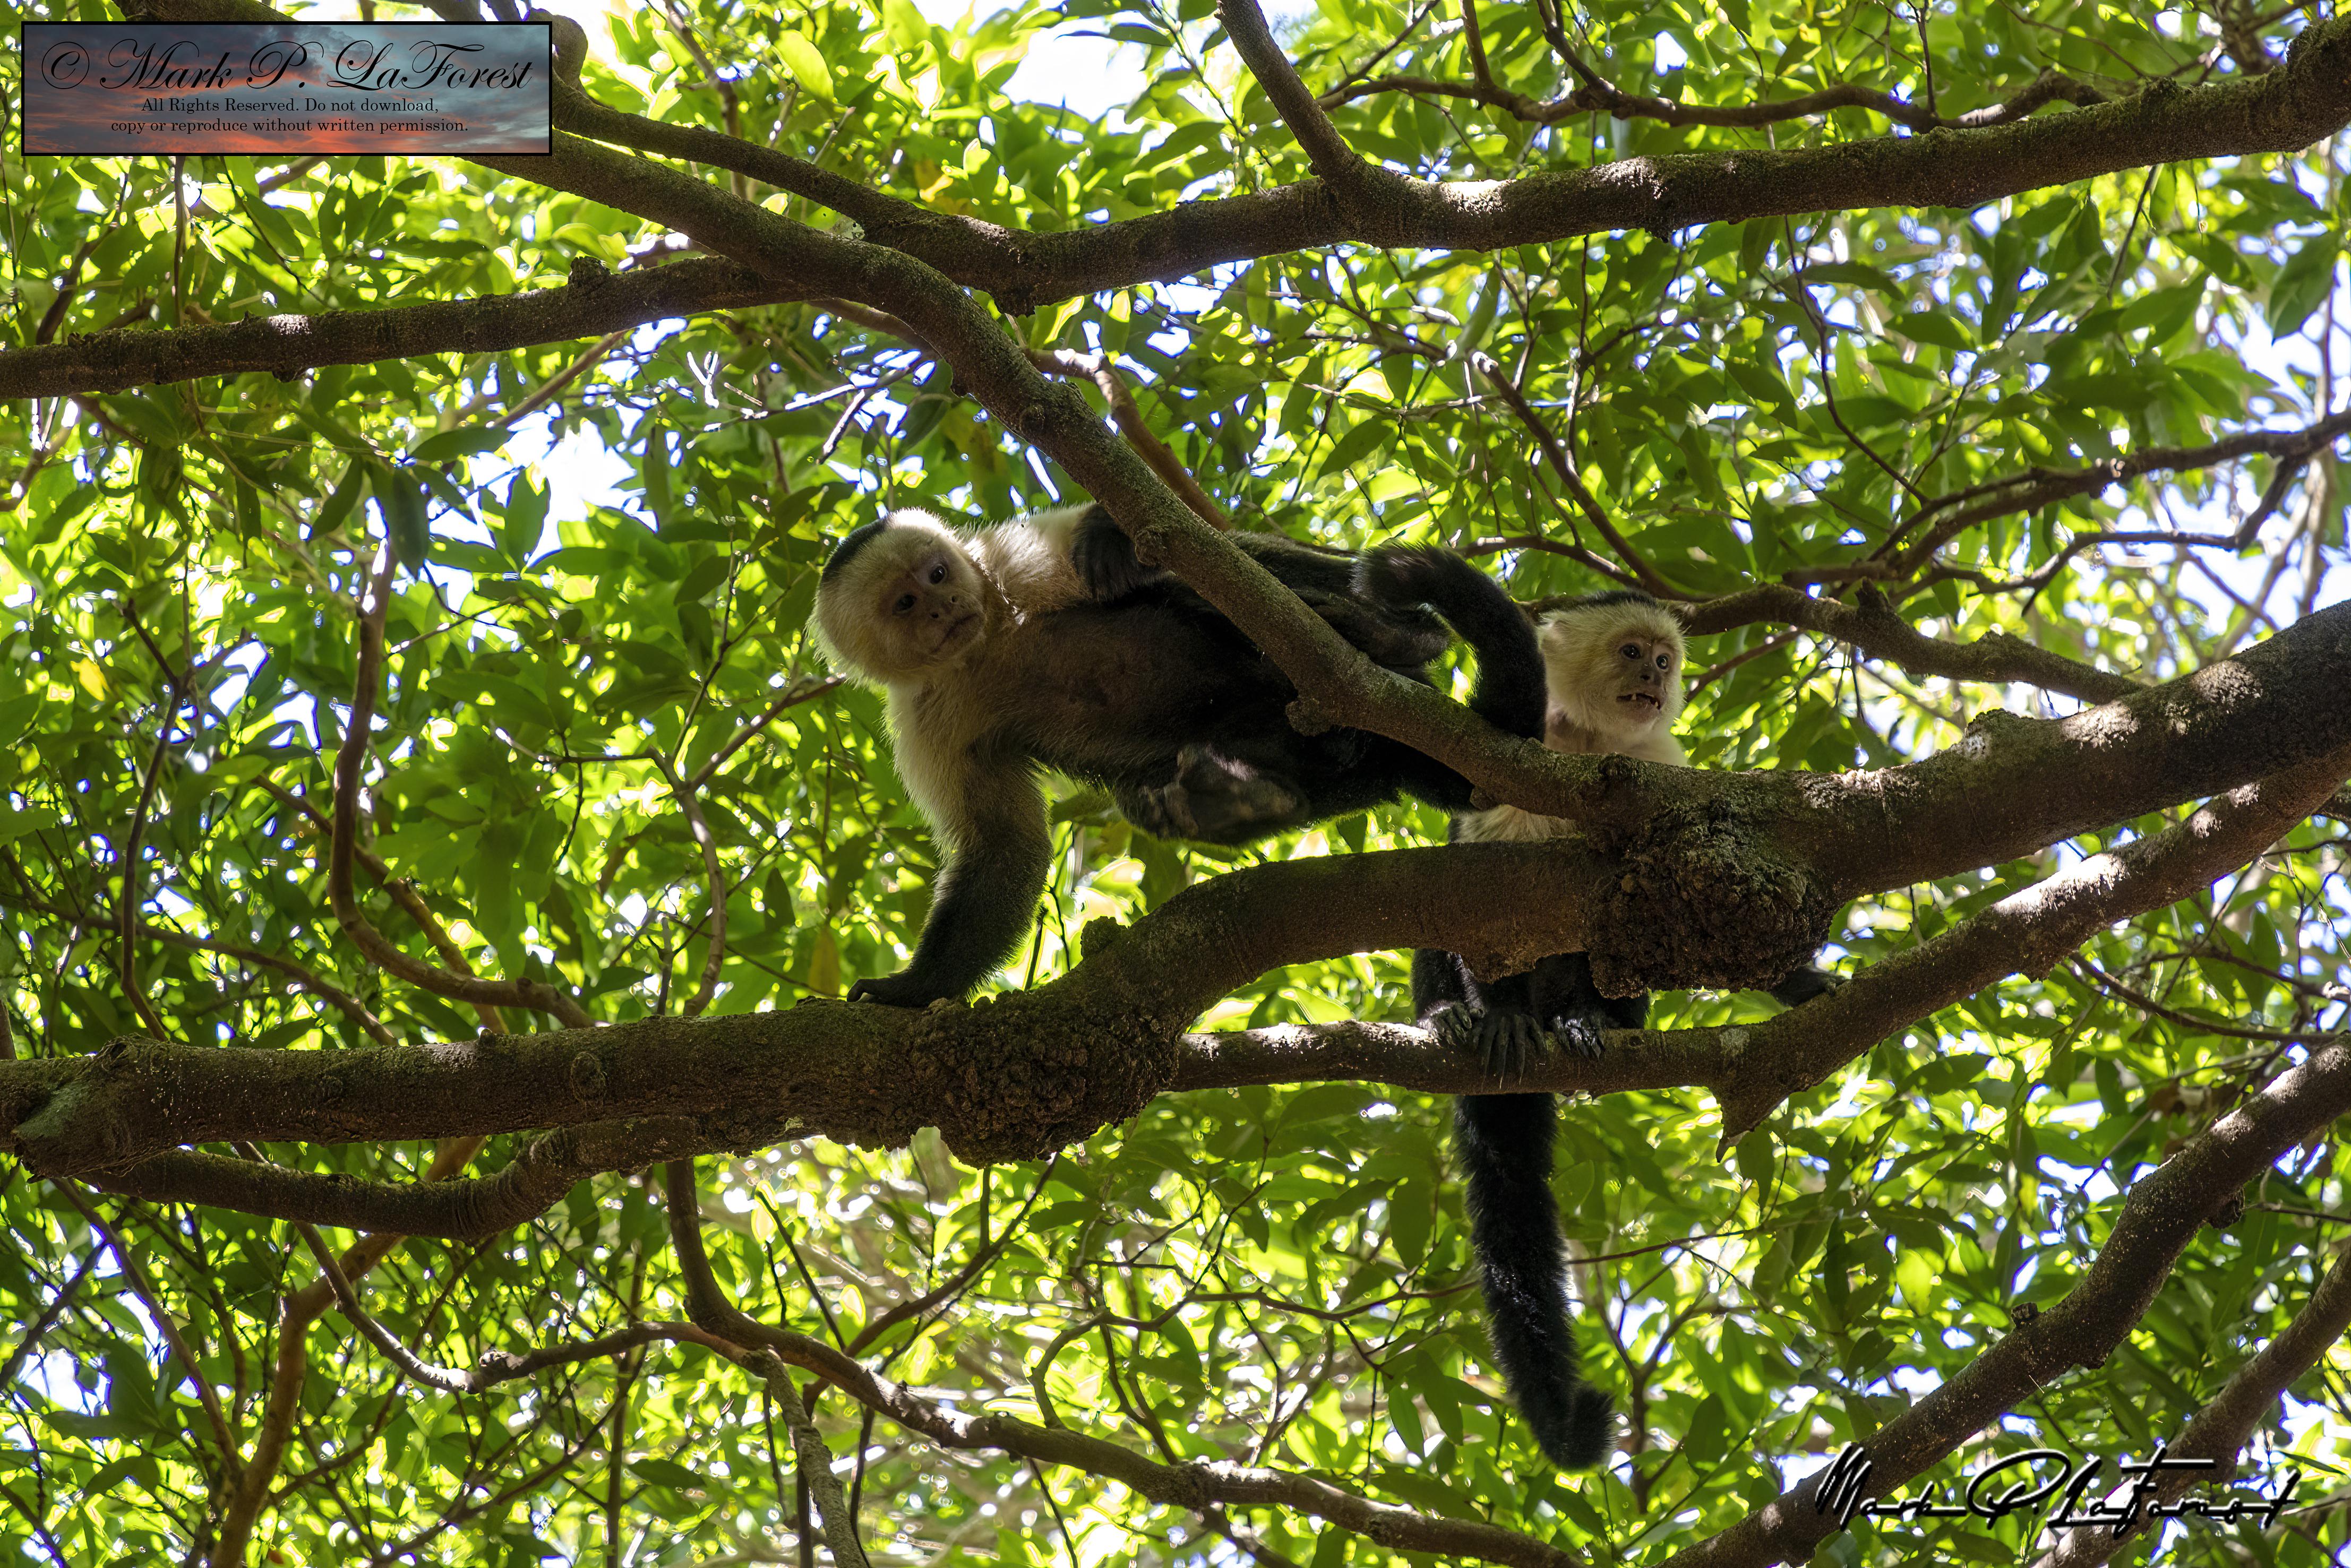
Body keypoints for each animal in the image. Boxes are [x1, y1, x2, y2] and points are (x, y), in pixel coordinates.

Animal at [811, 502, 1546, 1009]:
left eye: (939, 573)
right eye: (907, 602)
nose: (943, 608)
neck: (984, 641)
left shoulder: (1012, 563)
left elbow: (1165, 540)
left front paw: (1112, 530)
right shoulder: (925, 721)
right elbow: (1003, 848)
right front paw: (914, 988)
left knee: (1226, 577)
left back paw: (1393, 635)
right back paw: (1240, 800)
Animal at [1400, 588, 1838, 1470]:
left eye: (1664, 658)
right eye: (1634, 651)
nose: (1656, 677)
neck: (1590, 745)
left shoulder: (1656, 767)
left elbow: (1693, 903)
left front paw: (1800, 982)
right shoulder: (1516, 753)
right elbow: (1478, 896)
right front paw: (1491, 1009)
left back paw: (1583, 1021)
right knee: (1445, 903)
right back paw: (1468, 1018)